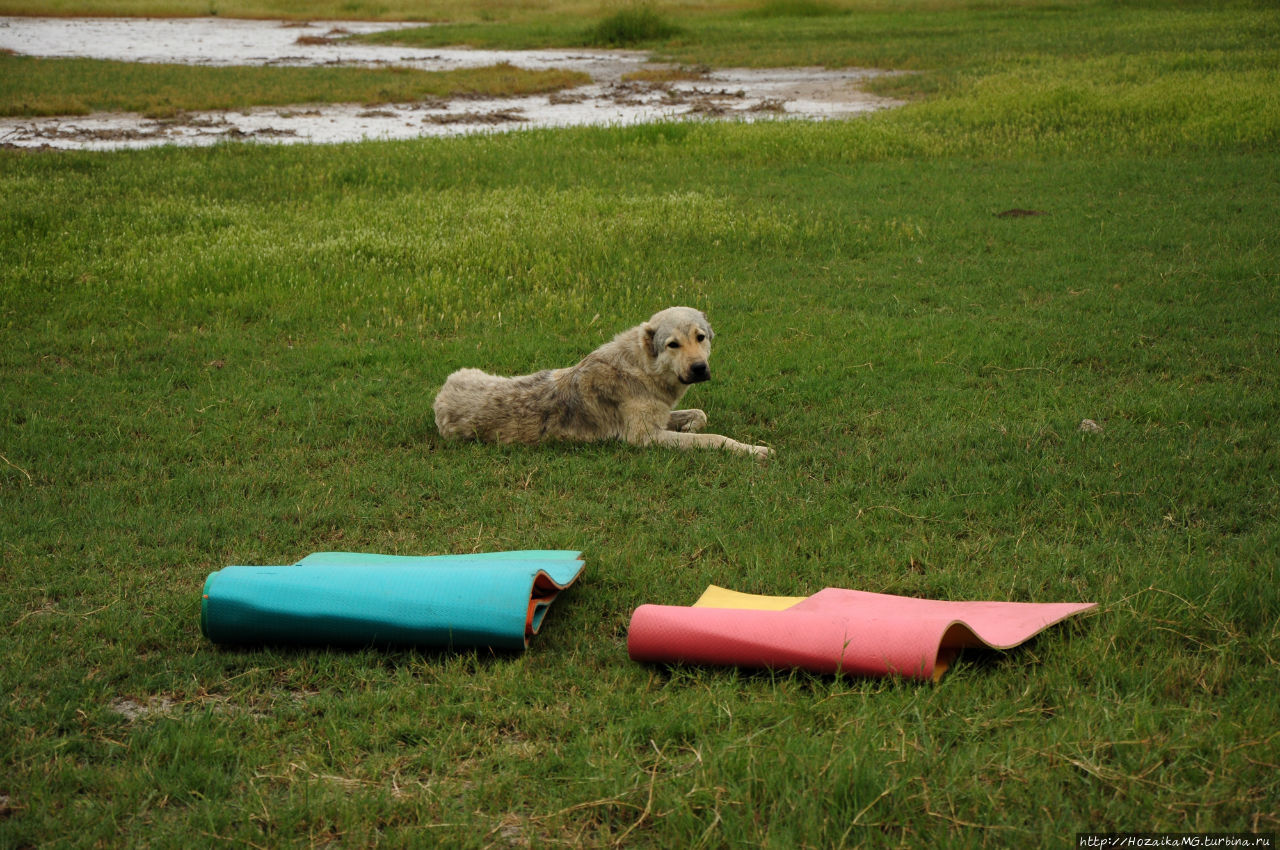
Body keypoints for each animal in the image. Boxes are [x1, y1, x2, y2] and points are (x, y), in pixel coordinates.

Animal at [432, 307, 768, 458]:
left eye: (700, 338)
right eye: (672, 344)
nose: (699, 368)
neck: (642, 368)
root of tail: (440, 396)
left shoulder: (659, 418)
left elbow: (700, 416)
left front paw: (689, 425)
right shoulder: (643, 438)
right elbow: (713, 438)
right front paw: (753, 449)